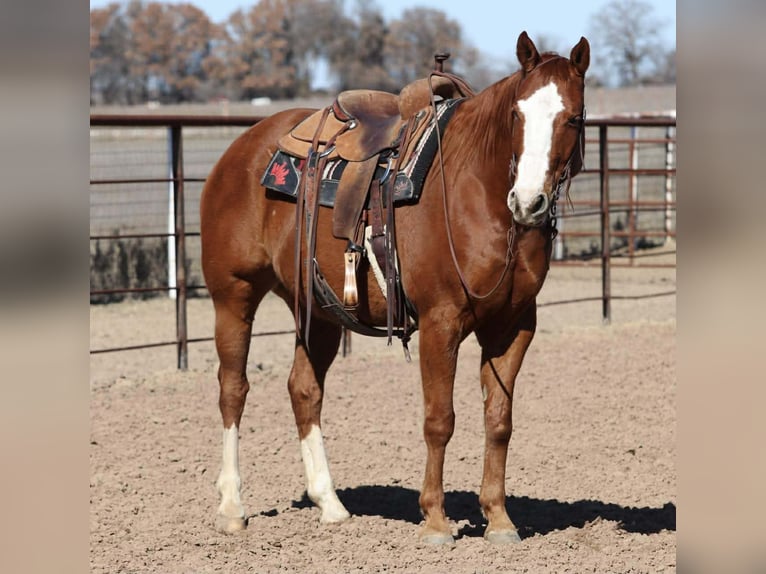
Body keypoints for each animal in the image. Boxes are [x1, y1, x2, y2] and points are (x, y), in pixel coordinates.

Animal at [200, 31, 589, 545]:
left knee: (304, 390)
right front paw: (436, 521)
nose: (527, 202)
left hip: (317, 310)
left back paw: (330, 504)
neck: (474, 192)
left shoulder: (514, 326)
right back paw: (231, 507)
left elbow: (499, 421)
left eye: (574, 117)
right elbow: (439, 420)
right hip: (233, 296)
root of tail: (241, 148)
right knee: (233, 390)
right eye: (516, 115)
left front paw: (499, 519)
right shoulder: (441, 322)